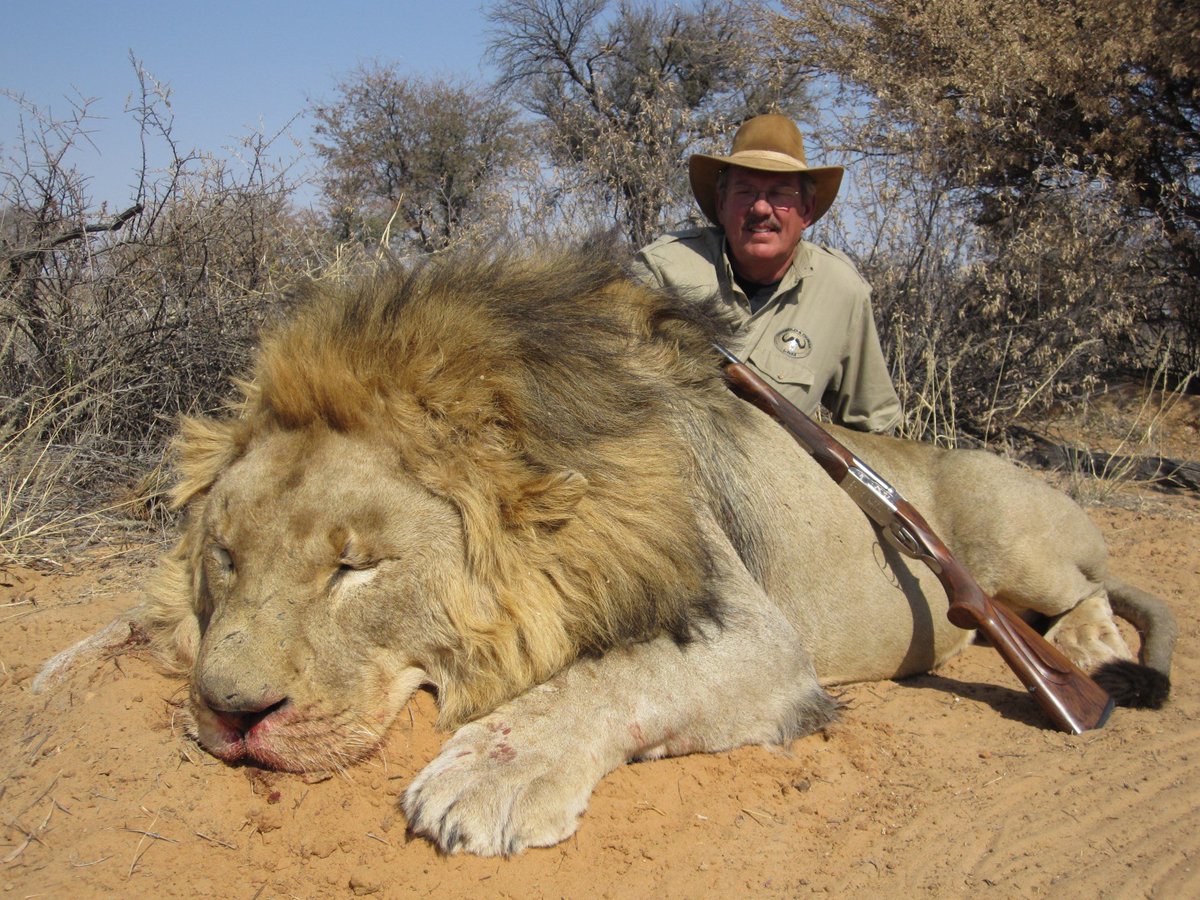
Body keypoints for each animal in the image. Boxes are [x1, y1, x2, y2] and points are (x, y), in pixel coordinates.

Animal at [36, 240, 1176, 856]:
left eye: (355, 568)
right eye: (225, 557)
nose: (231, 719)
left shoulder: (756, 634)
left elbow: (609, 677)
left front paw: (484, 776)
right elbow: (123, 626)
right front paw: (54, 678)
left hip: (1008, 534)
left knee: (1094, 587)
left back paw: (1090, 654)